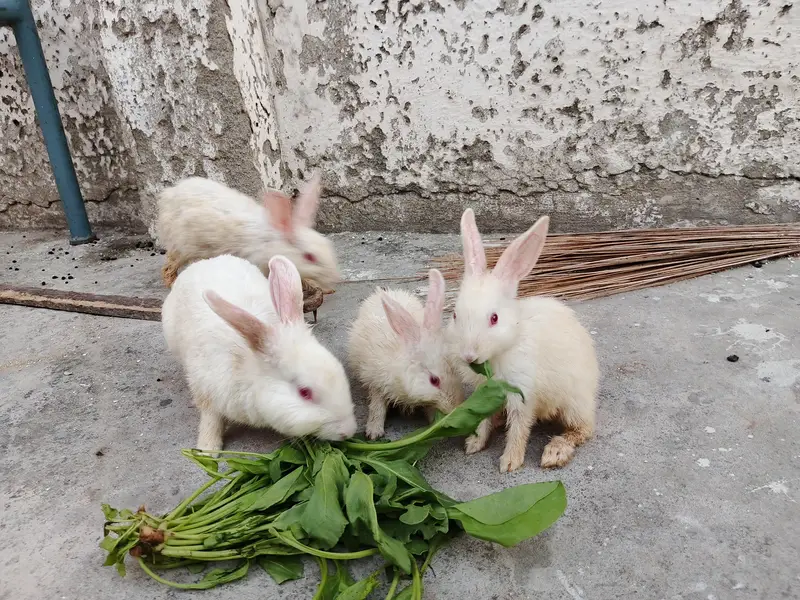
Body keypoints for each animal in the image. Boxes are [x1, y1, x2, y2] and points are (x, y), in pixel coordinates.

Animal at [156, 172, 340, 291]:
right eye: (310, 257)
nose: (334, 279)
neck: (271, 240)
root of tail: (167, 195)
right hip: (182, 246)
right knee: (169, 266)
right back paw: (172, 283)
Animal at [161, 253, 357, 452]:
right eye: (304, 392)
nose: (348, 431)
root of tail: (207, 261)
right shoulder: (205, 390)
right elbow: (211, 421)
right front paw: (207, 450)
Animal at [447, 208, 599, 473]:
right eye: (455, 315)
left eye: (494, 318)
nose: (469, 355)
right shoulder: (484, 396)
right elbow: (483, 419)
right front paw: (474, 443)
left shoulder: (522, 393)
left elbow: (519, 429)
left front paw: (510, 462)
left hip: (574, 403)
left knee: (583, 430)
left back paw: (555, 452)